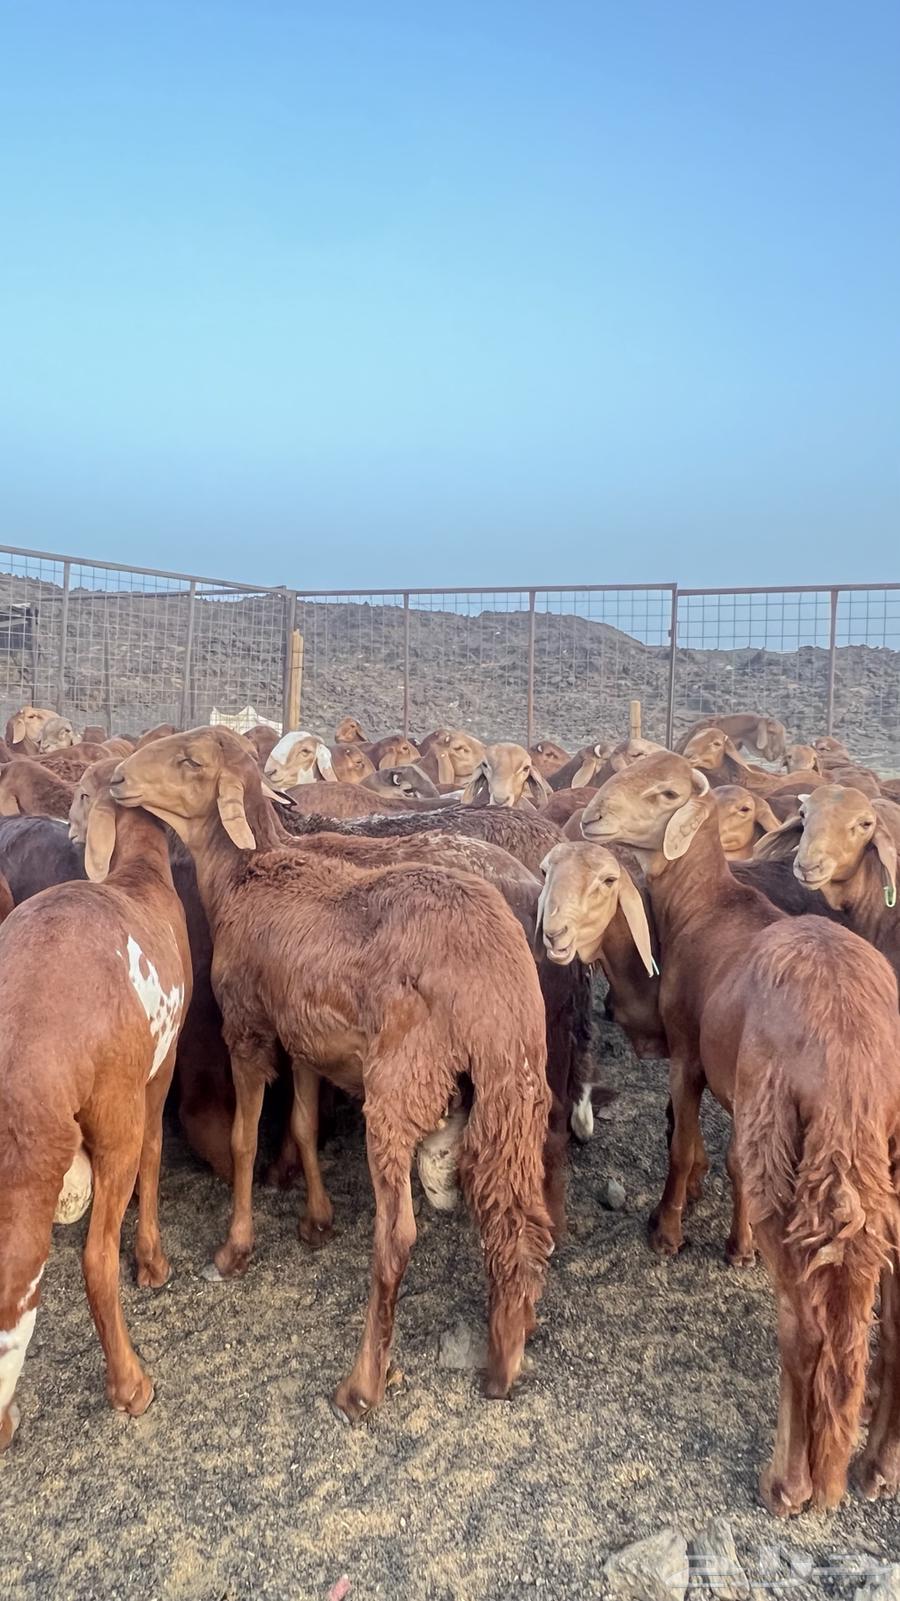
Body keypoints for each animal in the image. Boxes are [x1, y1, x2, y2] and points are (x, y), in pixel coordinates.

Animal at [0, 779, 192, 1451]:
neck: (140, 875)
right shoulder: (159, 1071)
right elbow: (157, 1155)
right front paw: (153, 1265)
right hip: (111, 1118)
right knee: (91, 1260)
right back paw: (130, 1386)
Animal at [111, 727, 553, 1419]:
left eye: (189, 760)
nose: (118, 779)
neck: (246, 872)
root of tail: (490, 977)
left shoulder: (249, 1028)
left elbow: (245, 1138)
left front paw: (235, 1248)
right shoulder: (306, 1038)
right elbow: (302, 1122)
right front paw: (316, 1221)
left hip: (401, 1088)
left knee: (396, 1236)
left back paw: (363, 1384)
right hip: (514, 1089)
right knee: (518, 1219)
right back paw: (505, 1357)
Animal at [580, 750, 900, 1514]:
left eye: (666, 792)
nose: (590, 813)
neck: (706, 905)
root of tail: (851, 1055)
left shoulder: (689, 1054)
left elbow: (682, 1144)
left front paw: (669, 1229)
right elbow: (724, 1163)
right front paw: (734, 1238)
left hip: (788, 1139)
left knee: (803, 1327)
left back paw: (792, 1481)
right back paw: (877, 1463)